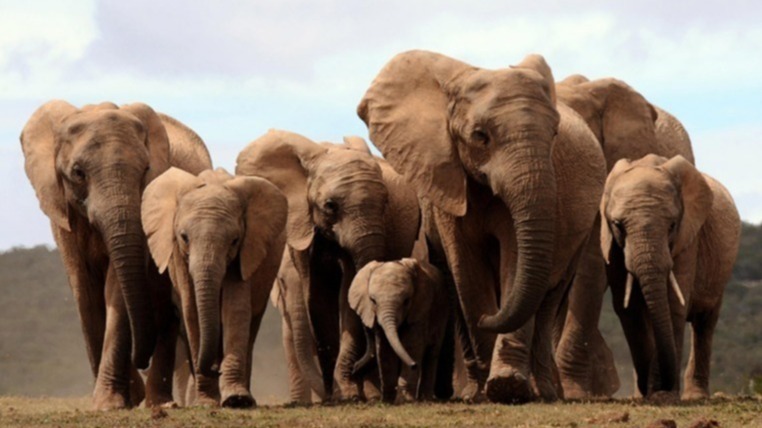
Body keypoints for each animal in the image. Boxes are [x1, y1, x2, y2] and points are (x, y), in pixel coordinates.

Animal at [20, 100, 212, 410]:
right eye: (78, 173)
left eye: (146, 169)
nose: (140, 361)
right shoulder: (62, 212)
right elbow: (83, 289)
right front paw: (119, 399)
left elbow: (117, 288)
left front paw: (112, 402)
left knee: (164, 310)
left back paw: (159, 402)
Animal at [141, 167, 287, 407]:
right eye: (184, 237)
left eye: (234, 240)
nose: (214, 368)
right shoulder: (177, 255)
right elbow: (191, 311)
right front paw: (207, 402)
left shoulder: (246, 250)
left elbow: (235, 309)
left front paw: (237, 400)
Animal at [236, 131, 422, 401]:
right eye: (330, 206)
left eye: (385, 202)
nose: (357, 369)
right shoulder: (302, 225)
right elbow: (317, 296)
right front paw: (336, 396)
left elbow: (348, 294)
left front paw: (348, 393)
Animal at [349, 258, 452, 403]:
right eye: (373, 301)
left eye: (406, 301)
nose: (354, 368)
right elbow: (384, 349)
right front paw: (387, 401)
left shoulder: (420, 310)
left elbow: (411, 345)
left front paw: (406, 400)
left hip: (442, 312)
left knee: (432, 353)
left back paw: (425, 399)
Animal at [600, 155, 740, 400]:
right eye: (618, 225)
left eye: (672, 225)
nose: (656, 388)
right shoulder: (613, 245)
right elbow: (629, 309)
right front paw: (647, 395)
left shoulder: (688, 239)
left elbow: (674, 304)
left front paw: (662, 396)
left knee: (704, 323)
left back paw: (695, 396)